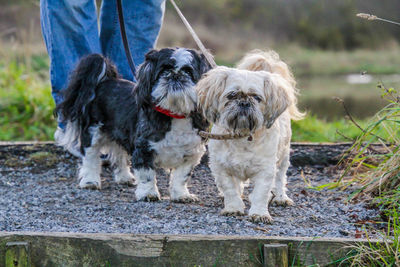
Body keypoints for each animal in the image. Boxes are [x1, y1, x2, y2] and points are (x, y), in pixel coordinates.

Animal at [55, 48, 211, 203]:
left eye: (189, 72)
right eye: (163, 71)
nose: (175, 75)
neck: (174, 114)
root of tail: (104, 82)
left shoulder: (190, 154)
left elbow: (181, 178)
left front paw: (181, 195)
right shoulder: (144, 149)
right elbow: (147, 175)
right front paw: (148, 194)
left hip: (120, 133)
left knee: (119, 154)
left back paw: (124, 177)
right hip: (93, 132)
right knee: (90, 157)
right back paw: (90, 181)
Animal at [195, 50, 304, 224]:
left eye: (257, 98)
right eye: (231, 95)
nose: (244, 103)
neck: (242, 134)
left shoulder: (265, 170)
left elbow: (261, 193)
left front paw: (259, 213)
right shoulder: (221, 167)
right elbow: (230, 189)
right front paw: (233, 207)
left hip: (283, 155)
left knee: (280, 178)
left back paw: (280, 197)